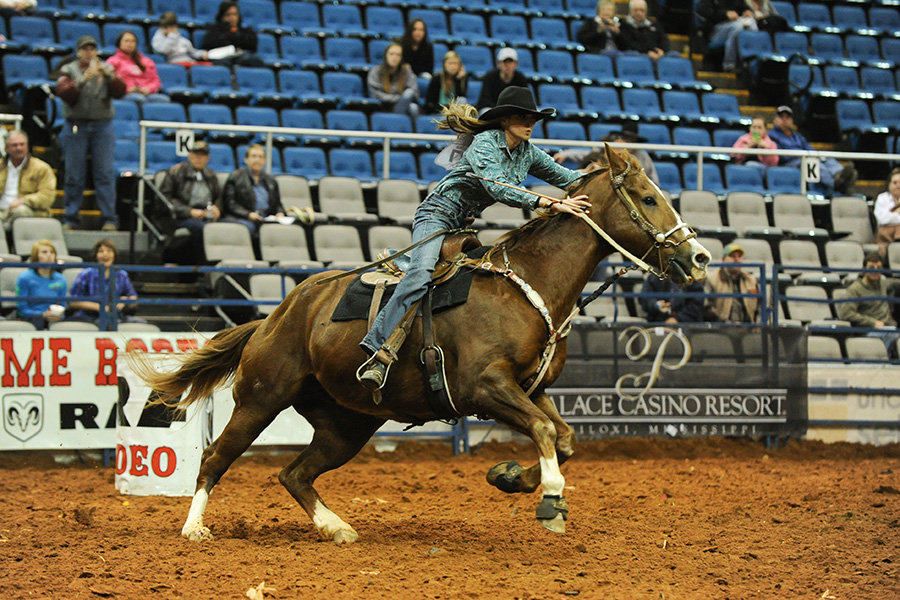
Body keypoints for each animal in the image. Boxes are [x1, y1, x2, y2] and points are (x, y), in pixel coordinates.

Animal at [135, 144, 712, 544]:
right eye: (647, 198)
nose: (699, 258)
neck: (524, 286)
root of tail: (273, 318)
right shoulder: (486, 388)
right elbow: (548, 432)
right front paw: (550, 500)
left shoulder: (533, 389)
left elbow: (563, 437)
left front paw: (509, 476)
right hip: (261, 398)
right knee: (214, 458)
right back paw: (194, 528)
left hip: (346, 424)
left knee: (294, 473)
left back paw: (337, 528)